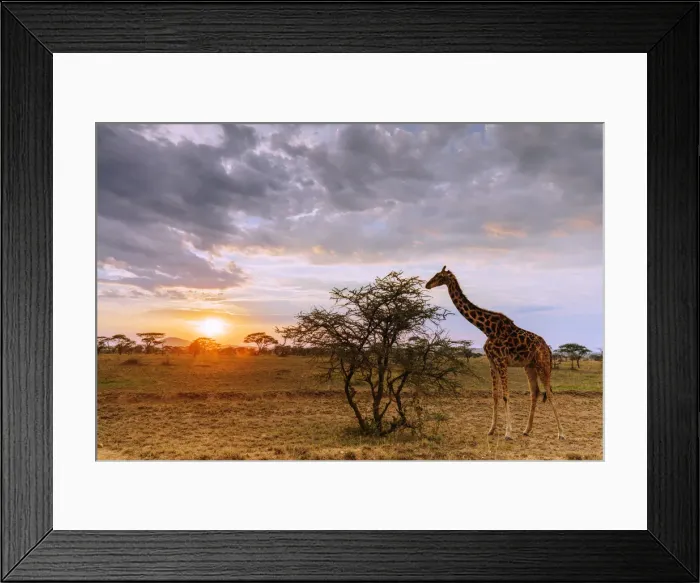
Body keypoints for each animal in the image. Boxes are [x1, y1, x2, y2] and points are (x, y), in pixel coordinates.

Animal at [426, 266, 565, 440]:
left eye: (439, 276)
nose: (427, 285)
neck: (487, 329)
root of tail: (548, 349)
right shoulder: (492, 362)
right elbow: (495, 395)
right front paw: (491, 430)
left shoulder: (502, 361)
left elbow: (506, 395)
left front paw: (508, 433)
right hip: (529, 366)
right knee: (535, 392)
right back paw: (527, 430)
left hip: (542, 364)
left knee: (550, 393)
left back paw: (561, 433)